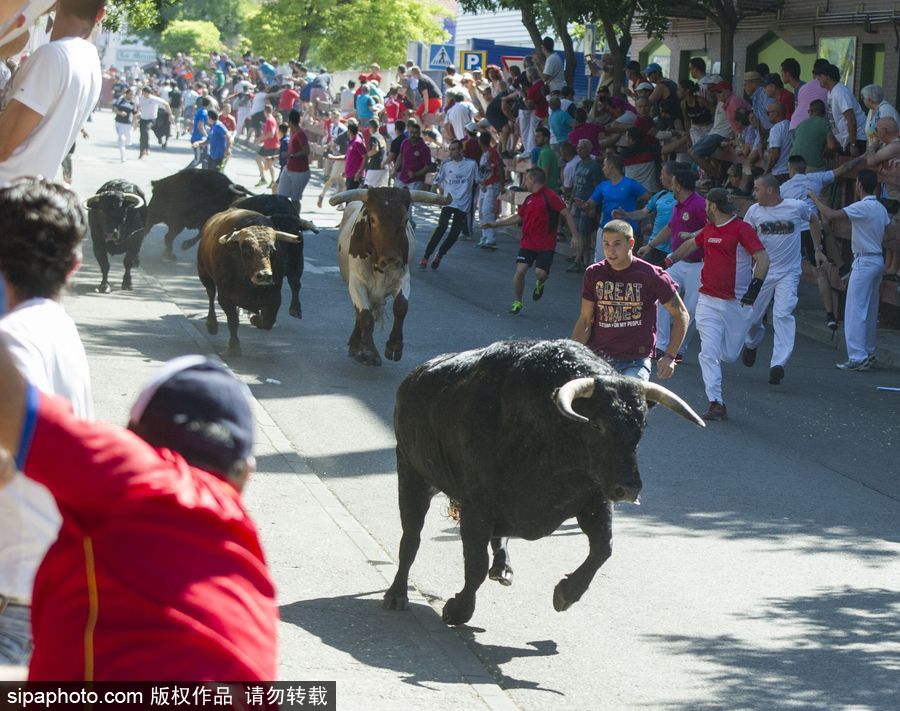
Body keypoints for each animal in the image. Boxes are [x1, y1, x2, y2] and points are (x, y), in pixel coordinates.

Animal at [328, 188, 448, 368]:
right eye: (372, 219)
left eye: (405, 219)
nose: (391, 258)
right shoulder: (357, 283)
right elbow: (365, 316)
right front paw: (369, 352)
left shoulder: (403, 279)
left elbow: (401, 306)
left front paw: (394, 346)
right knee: (360, 314)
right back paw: (356, 344)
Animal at [384, 342, 708, 624]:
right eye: (597, 424)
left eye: (641, 425)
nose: (628, 488)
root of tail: (412, 379)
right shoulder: (477, 509)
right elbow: (474, 565)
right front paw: (458, 610)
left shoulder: (595, 500)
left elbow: (603, 548)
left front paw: (566, 594)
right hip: (411, 473)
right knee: (410, 538)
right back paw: (396, 594)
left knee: (498, 539)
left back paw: (503, 568)